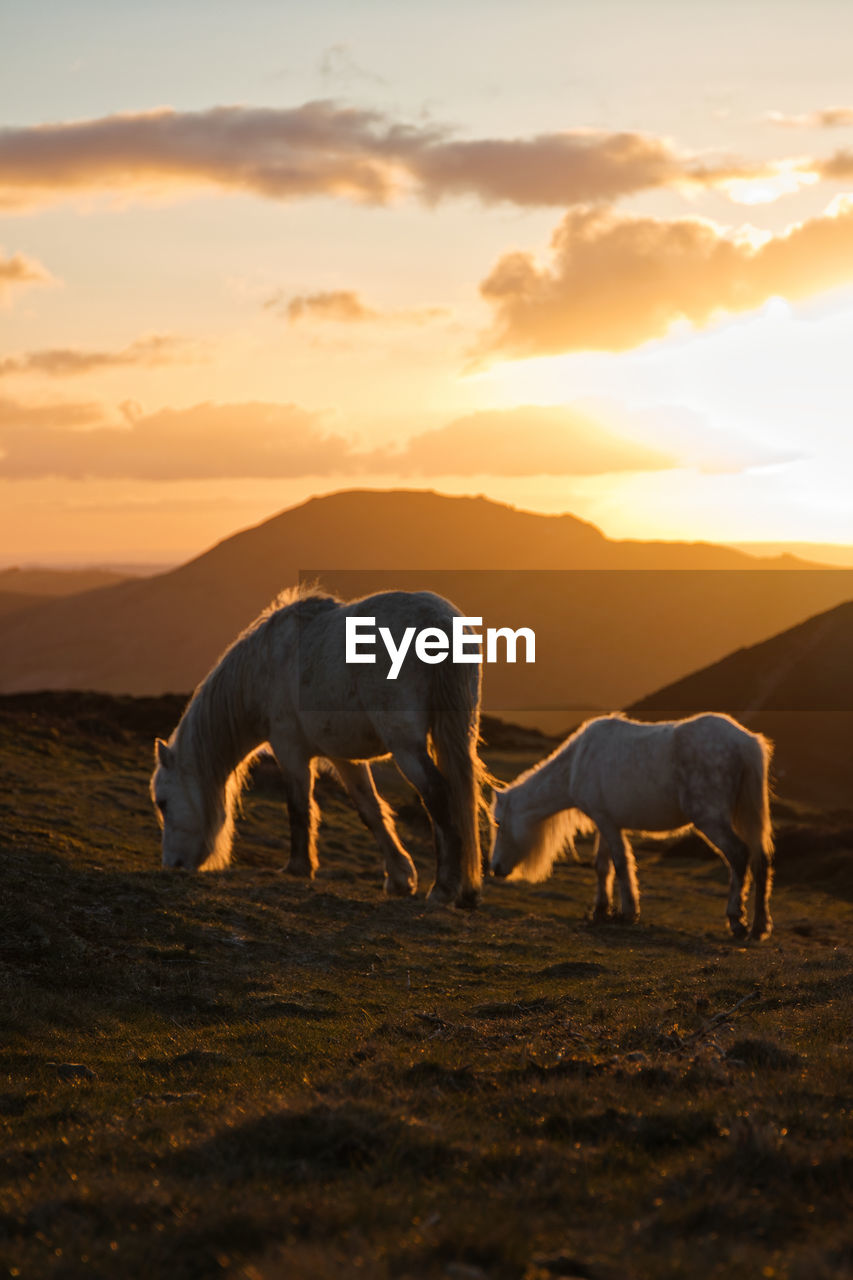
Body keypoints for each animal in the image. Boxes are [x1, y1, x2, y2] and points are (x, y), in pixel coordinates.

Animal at [151, 588, 484, 911]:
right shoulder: (343, 757)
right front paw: (400, 878)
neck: (264, 667)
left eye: (162, 803)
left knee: (439, 795)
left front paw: (298, 867)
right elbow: (370, 811)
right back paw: (465, 893)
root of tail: (440, 621)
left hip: (406, 746)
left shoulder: (290, 750)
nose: (172, 865)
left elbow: (298, 807)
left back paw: (443, 889)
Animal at [484, 711, 768, 942]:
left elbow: (620, 864)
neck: (578, 762)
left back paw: (737, 921)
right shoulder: (605, 821)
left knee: (739, 855)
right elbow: (602, 866)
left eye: (498, 822)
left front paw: (628, 912)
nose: (495, 868)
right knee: (760, 860)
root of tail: (744, 742)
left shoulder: (607, 822)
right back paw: (759, 928)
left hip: (710, 819)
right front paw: (600, 911)